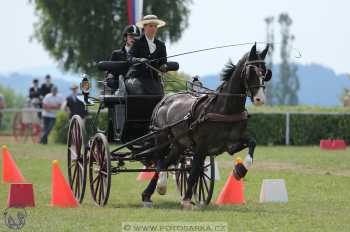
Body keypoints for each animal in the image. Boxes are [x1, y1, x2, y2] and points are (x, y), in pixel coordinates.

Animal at [141, 44, 272, 208]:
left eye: (265, 72)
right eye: (250, 72)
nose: (260, 99)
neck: (224, 109)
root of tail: (165, 99)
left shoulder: (232, 145)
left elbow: (252, 143)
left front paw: (240, 170)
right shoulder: (201, 146)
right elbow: (194, 171)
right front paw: (186, 200)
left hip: (179, 145)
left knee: (166, 162)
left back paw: (150, 193)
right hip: (162, 138)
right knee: (160, 163)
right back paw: (158, 187)